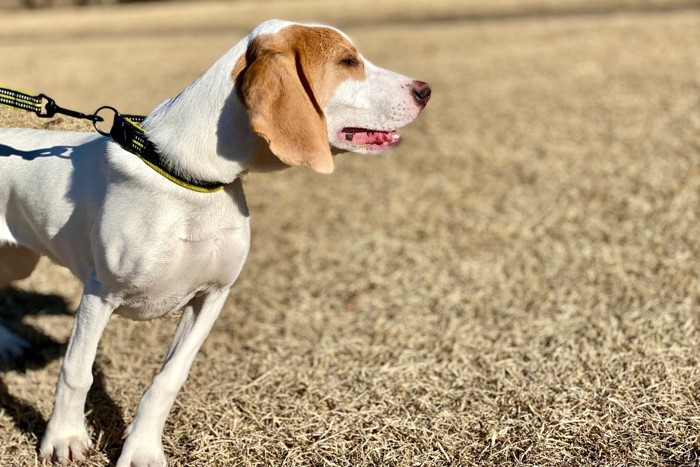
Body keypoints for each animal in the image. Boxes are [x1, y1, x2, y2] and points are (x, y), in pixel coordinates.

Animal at [0, 20, 430, 466]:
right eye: (347, 61)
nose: (425, 90)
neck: (191, 179)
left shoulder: (212, 295)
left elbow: (169, 379)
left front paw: (143, 449)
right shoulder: (100, 294)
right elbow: (77, 371)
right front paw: (64, 437)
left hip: (19, 260)